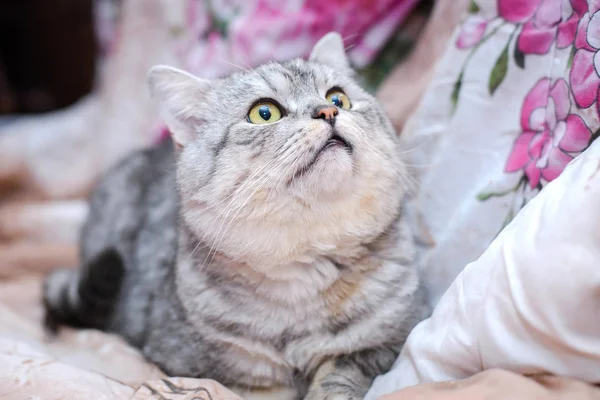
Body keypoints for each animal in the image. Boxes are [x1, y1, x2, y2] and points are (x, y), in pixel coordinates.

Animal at [44, 33, 428, 400]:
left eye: (338, 99)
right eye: (264, 113)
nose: (327, 112)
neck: (304, 265)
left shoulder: (389, 339)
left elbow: (341, 373)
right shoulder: (202, 364)